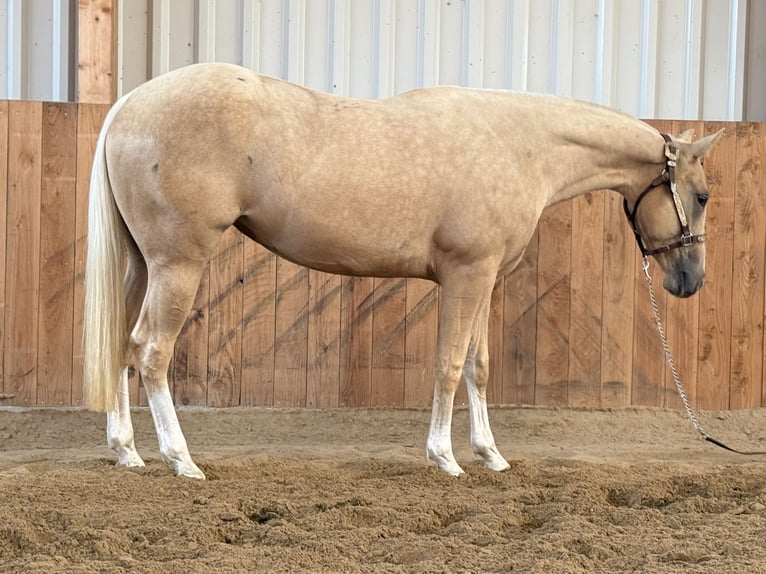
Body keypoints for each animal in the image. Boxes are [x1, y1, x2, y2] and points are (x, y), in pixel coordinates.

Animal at [83, 62, 723, 479]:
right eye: (702, 195)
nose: (691, 280)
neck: (518, 144)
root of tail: (127, 106)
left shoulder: (484, 280)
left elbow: (478, 368)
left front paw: (490, 455)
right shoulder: (466, 277)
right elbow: (448, 365)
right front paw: (445, 458)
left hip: (140, 264)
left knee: (120, 345)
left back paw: (128, 452)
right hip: (179, 264)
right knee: (152, 350)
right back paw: (181, 460)